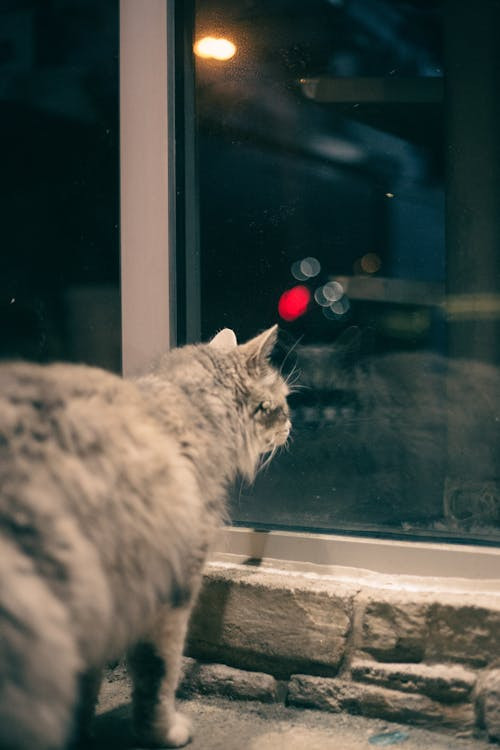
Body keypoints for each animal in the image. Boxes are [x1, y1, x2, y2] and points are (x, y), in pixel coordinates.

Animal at [0, 328, 292, 750]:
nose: (292, 424)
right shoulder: (170, 588)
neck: (195, 410)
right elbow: (159, 674)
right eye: (282, 403)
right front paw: (162, 731)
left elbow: (87, 687)